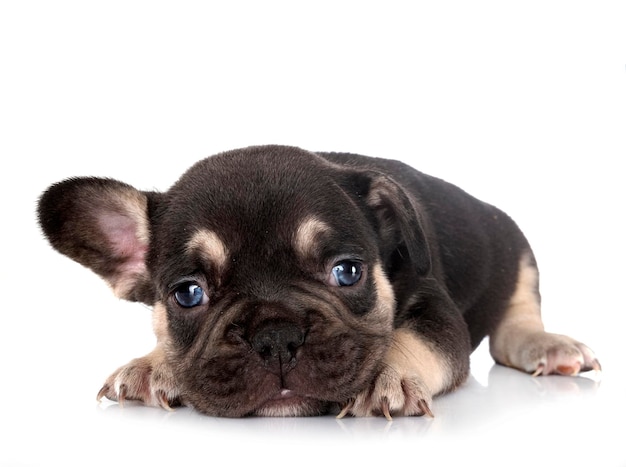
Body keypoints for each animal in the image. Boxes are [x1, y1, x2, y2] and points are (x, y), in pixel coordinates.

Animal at [36, 145, 596, 420]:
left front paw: (385, 374)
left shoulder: (437, 311)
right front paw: (152, 365)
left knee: (515, 321)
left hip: (515, 253)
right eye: (188, 294)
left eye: (346, 271)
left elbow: (412, 338)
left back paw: (548, 345)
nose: (276, 337)